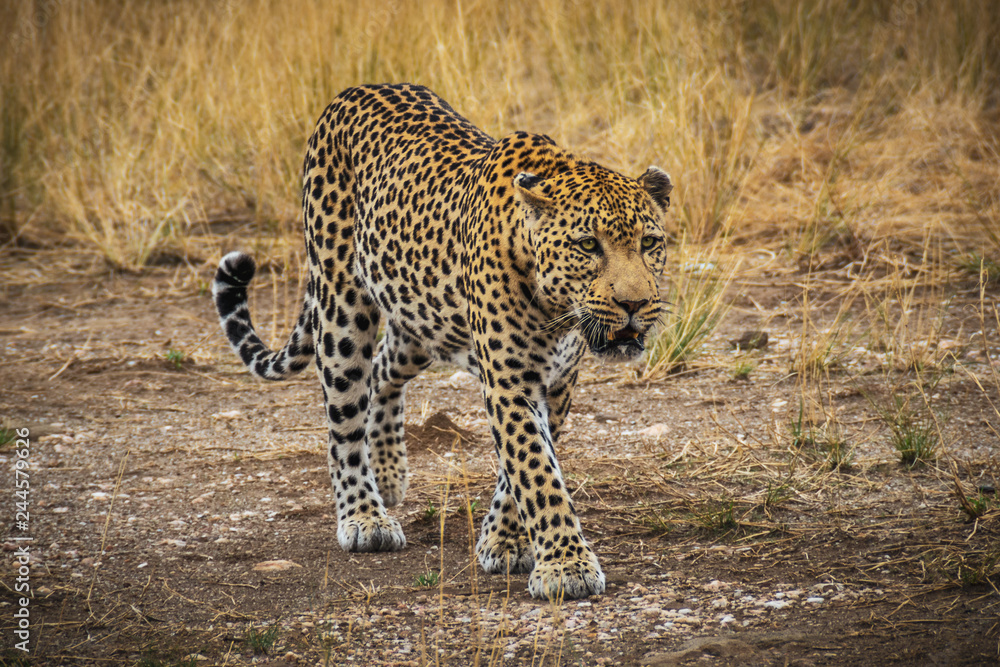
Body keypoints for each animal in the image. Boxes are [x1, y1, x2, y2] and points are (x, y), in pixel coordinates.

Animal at [213, 83, 672, 600]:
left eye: (650, 243)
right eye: (588, 245)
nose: (635, 303)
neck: (556, 309)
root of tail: (353, 91)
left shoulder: (556, 384)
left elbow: (520, 467)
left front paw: (504, 540)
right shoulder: (511, 381)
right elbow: (535, 470)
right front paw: (565, 565)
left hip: (420, 320)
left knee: (383, 372)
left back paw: (388, 470)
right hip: (341, 310)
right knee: (345, 416)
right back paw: (364, 515)